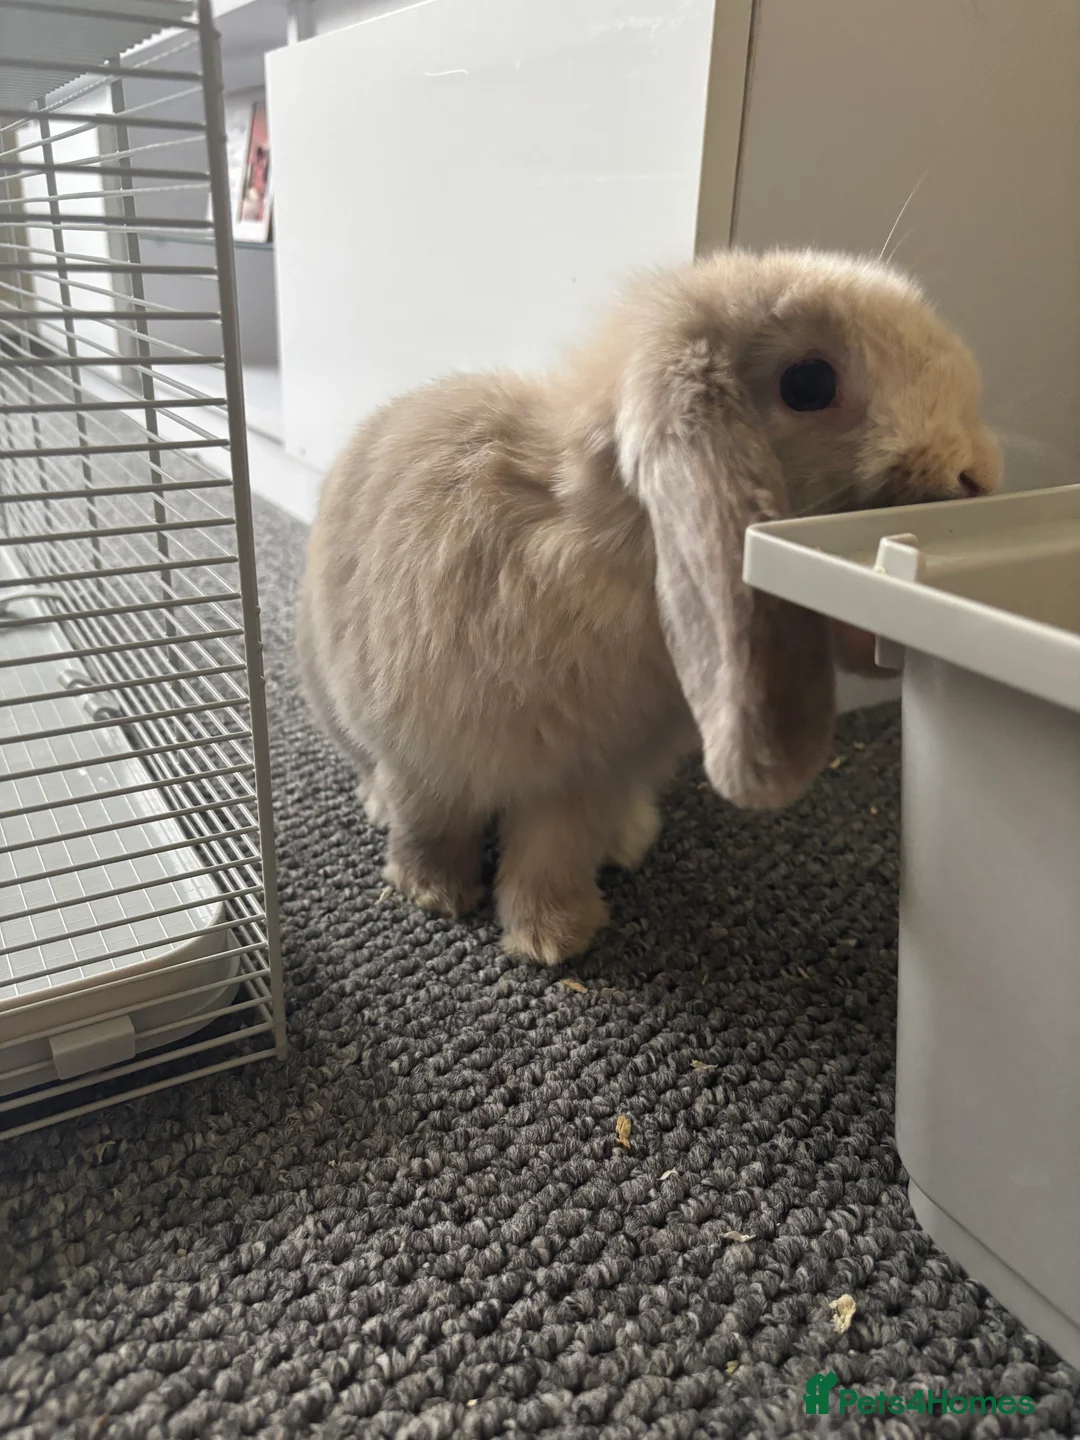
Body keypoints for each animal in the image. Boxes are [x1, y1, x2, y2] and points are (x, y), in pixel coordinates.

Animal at [298, 248, 1002, 965]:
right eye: (808, 383)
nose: (979, 477)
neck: (602, 547)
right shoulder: (424, 754)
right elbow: (430, 824)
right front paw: (434, 893)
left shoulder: (587, 778)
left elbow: (554, 853)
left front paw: (554, 937)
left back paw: (627, 841)